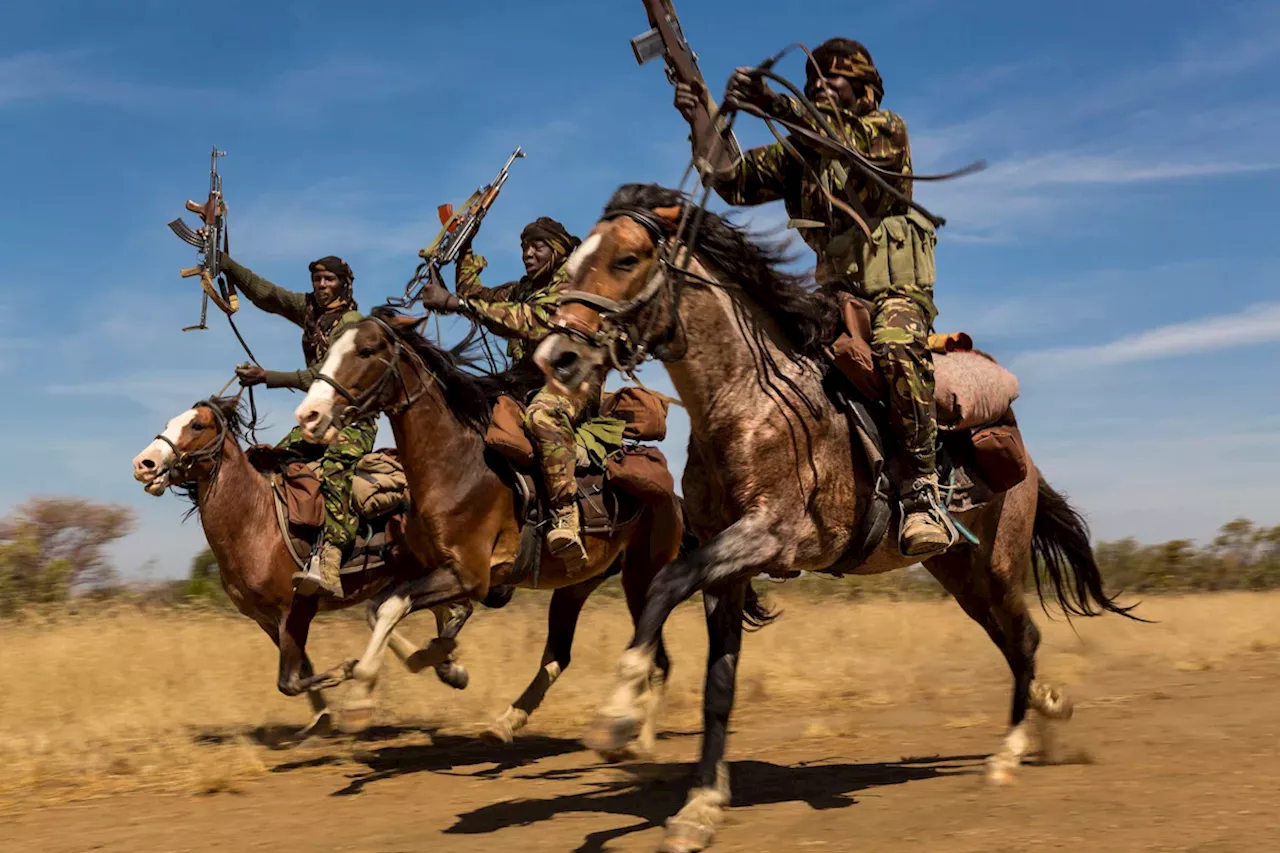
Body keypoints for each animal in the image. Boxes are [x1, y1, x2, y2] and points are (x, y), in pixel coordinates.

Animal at [131, 394, 471, 732]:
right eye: (169, 423)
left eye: (197, 425)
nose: (144, 465)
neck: (256, 520)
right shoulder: (266, 619)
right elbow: (299, 672)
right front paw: (322, 718)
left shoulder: (297, 610)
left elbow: (289, 681)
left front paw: (347, 671)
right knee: (431, 610)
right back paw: (443, 664)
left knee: (452, 607)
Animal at [293, 308, 701, 747]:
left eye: (366, 350)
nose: (309, 417)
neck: (456, 466)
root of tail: (673, 499)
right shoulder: (435, 571)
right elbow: (385, 610)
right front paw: (443, 662)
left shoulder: (470, 575)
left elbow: (391, 608)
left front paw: (360, 698)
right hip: (578, 585)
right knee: (560, 655)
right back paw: (509, 721)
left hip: (642, 579)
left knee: (656, 657)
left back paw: (638, 738)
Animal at [532, 185, 1141, 850]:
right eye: (573, 264)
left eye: (627, 259)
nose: (556, 357)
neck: (751, 402)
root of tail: (1023, 452)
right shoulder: (726, 570)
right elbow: (719, 687)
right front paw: (700, 807)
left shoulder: (771, 539)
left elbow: (665, 587)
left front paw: (619, 716)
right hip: (959, 573)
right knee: (1008, 639)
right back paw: (1048, 708)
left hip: (999, 563)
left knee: (1024, 636)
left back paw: (1008, 753)